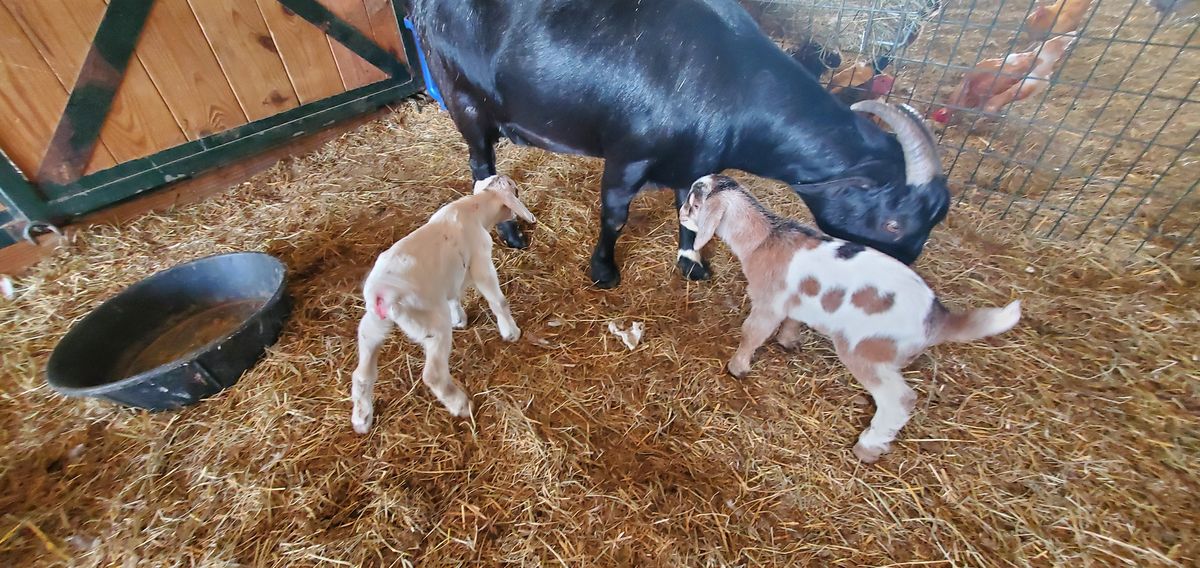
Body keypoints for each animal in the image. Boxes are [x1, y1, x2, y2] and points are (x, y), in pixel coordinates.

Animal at [350, 175, 536, 432]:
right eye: (516, 191)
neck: (475, 209)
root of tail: (383, 295)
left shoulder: (451, 277)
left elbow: (453, 297)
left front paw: (460, 319)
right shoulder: (481, 264)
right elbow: (498, 301)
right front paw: (511, 332)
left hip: (371, 327)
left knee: (361, 374)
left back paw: (362, 419)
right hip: (432, 326)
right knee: (433, 375)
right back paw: (461, 405)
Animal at [406, 0, 950, 289]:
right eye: (893, 222)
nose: (900, 273)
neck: (731, 84)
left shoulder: (696, 163)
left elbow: (691, 212)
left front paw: (691, 264)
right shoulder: (628, 156)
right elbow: (614, 216)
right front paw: (603, 271)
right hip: (464, 99)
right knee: (483, 170)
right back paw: (512, 235)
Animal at [680, 173, 1021, 462]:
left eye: (695, 204)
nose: (681, 214)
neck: (765, 238)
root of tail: (935, 318)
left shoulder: (769, 301)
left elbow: (753, 332)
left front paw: (737, 367)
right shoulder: (796, 301)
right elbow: (793, 320)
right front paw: (788, 342)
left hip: (865, 350)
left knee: (900, 400)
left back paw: (868, 447)